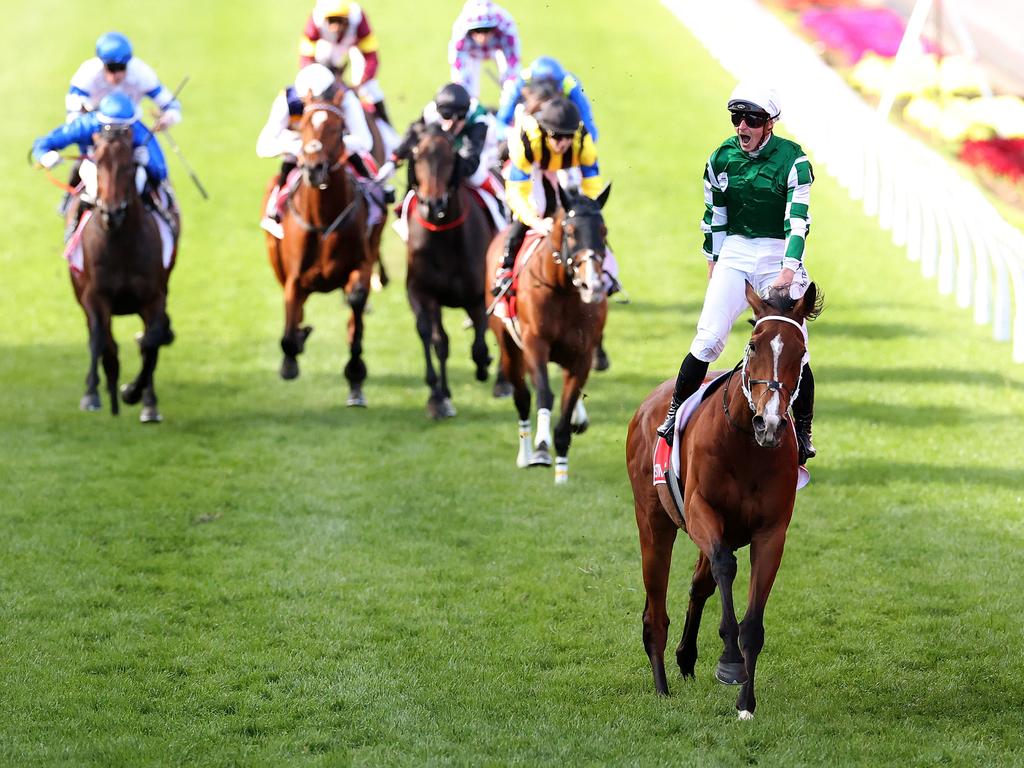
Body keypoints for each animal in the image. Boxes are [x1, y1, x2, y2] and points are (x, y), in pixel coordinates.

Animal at [73, 128, 176, 428]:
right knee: (100, 340)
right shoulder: (95, 297)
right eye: (97, 163)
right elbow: (102, 342)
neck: (120, 243)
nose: (112, 212)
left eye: (131, 166)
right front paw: (96, 394)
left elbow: (152, 342)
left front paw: (139, 397)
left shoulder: (153, 297)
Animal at [262, 90, 382, 405]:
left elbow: (356, 306)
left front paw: (355, 373)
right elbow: (289, 331)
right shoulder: (293, 278)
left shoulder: (361, 265)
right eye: (303, 125)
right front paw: (291, 357)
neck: (324, 218)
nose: (314, 168)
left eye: (337, 128)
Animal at [485, 183, 606, 483]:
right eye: (571, 232)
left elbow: (567, 405)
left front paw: (561, 471)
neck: (563, 290)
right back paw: (526, 454)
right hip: (509, 348)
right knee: (522, 397)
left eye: (603, 231)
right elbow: (543, 395)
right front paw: (540, 449)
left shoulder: (582, 356)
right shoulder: (535, 345)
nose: (593, 285)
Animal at [622, 282, 823, 720]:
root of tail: (647, 403)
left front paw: (746, 701)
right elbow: (726, 568)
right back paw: (661, 686)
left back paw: (685, 658)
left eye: (800, 351)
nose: (770, 423)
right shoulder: (701, 511)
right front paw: (729, 661)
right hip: (654, 521)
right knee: (655, 611)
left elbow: (752, 622)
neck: (746, 445)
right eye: (753, 344)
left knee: (700, 584)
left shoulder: (770, 532)